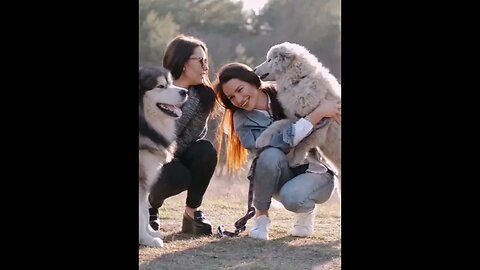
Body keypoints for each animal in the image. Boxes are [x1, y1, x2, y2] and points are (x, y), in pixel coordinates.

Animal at [139, 65, 188, 247]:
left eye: (171, 82)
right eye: (160, 86)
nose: (185, 92)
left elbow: (144, 212)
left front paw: (150, 233)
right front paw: (147, 240)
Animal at [255, 41, 342, 174]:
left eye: (269, 60)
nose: (254, 69)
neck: (297, 80)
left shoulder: (322, 122)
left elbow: (305, 142)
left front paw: (296, 159)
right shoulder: (297, 117)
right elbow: (281, 124)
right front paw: (261, 140)